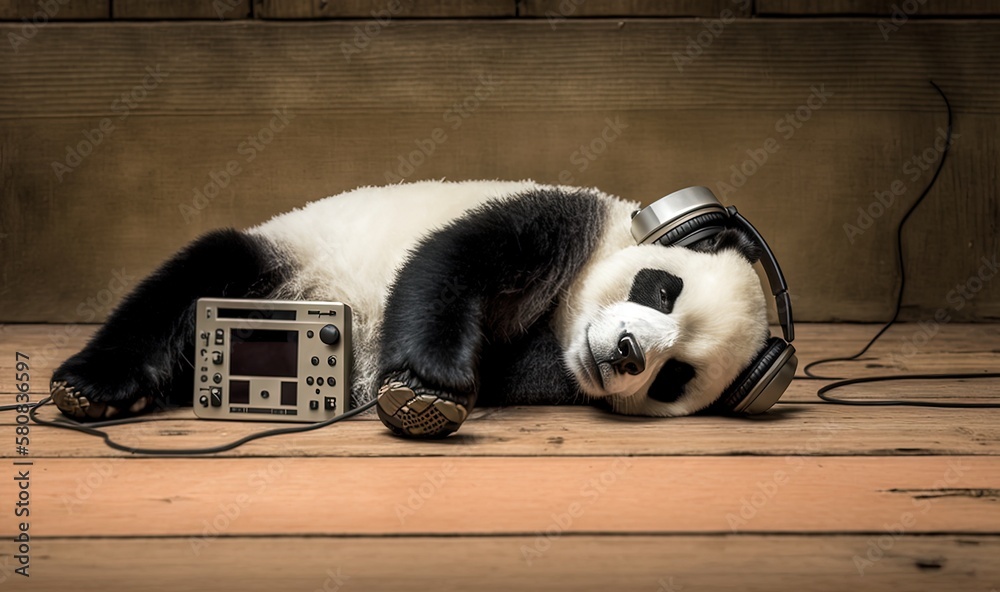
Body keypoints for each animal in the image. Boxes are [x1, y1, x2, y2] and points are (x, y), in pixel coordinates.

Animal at [48, 180, 772, 440]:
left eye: (674, 377)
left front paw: (424, 392)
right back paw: (96, 388)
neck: (563, 321)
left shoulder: (554, 367)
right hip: (287, 256)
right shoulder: (560, 220)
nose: (626, 352)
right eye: (660, 290)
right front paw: (428, 382)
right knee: (197, 272)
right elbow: (452, 260)